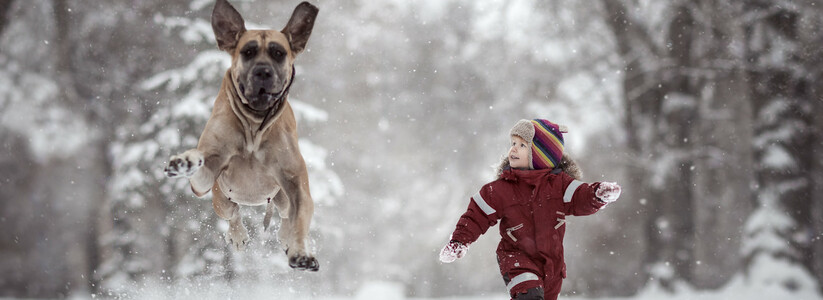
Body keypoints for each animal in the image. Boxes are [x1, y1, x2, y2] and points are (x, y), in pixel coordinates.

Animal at [166, 0, 320, 272]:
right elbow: (200, 167)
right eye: (248, 52)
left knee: (285, 216)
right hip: (221, 200)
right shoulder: (207, 177)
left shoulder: (296, 184)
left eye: (278, 53)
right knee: (233, 213)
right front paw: (185, 162)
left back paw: (286, 237)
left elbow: (300, 217)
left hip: (281, 198)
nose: (263, 72)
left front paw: (301, 251)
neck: (254, 125)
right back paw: (237, 234)